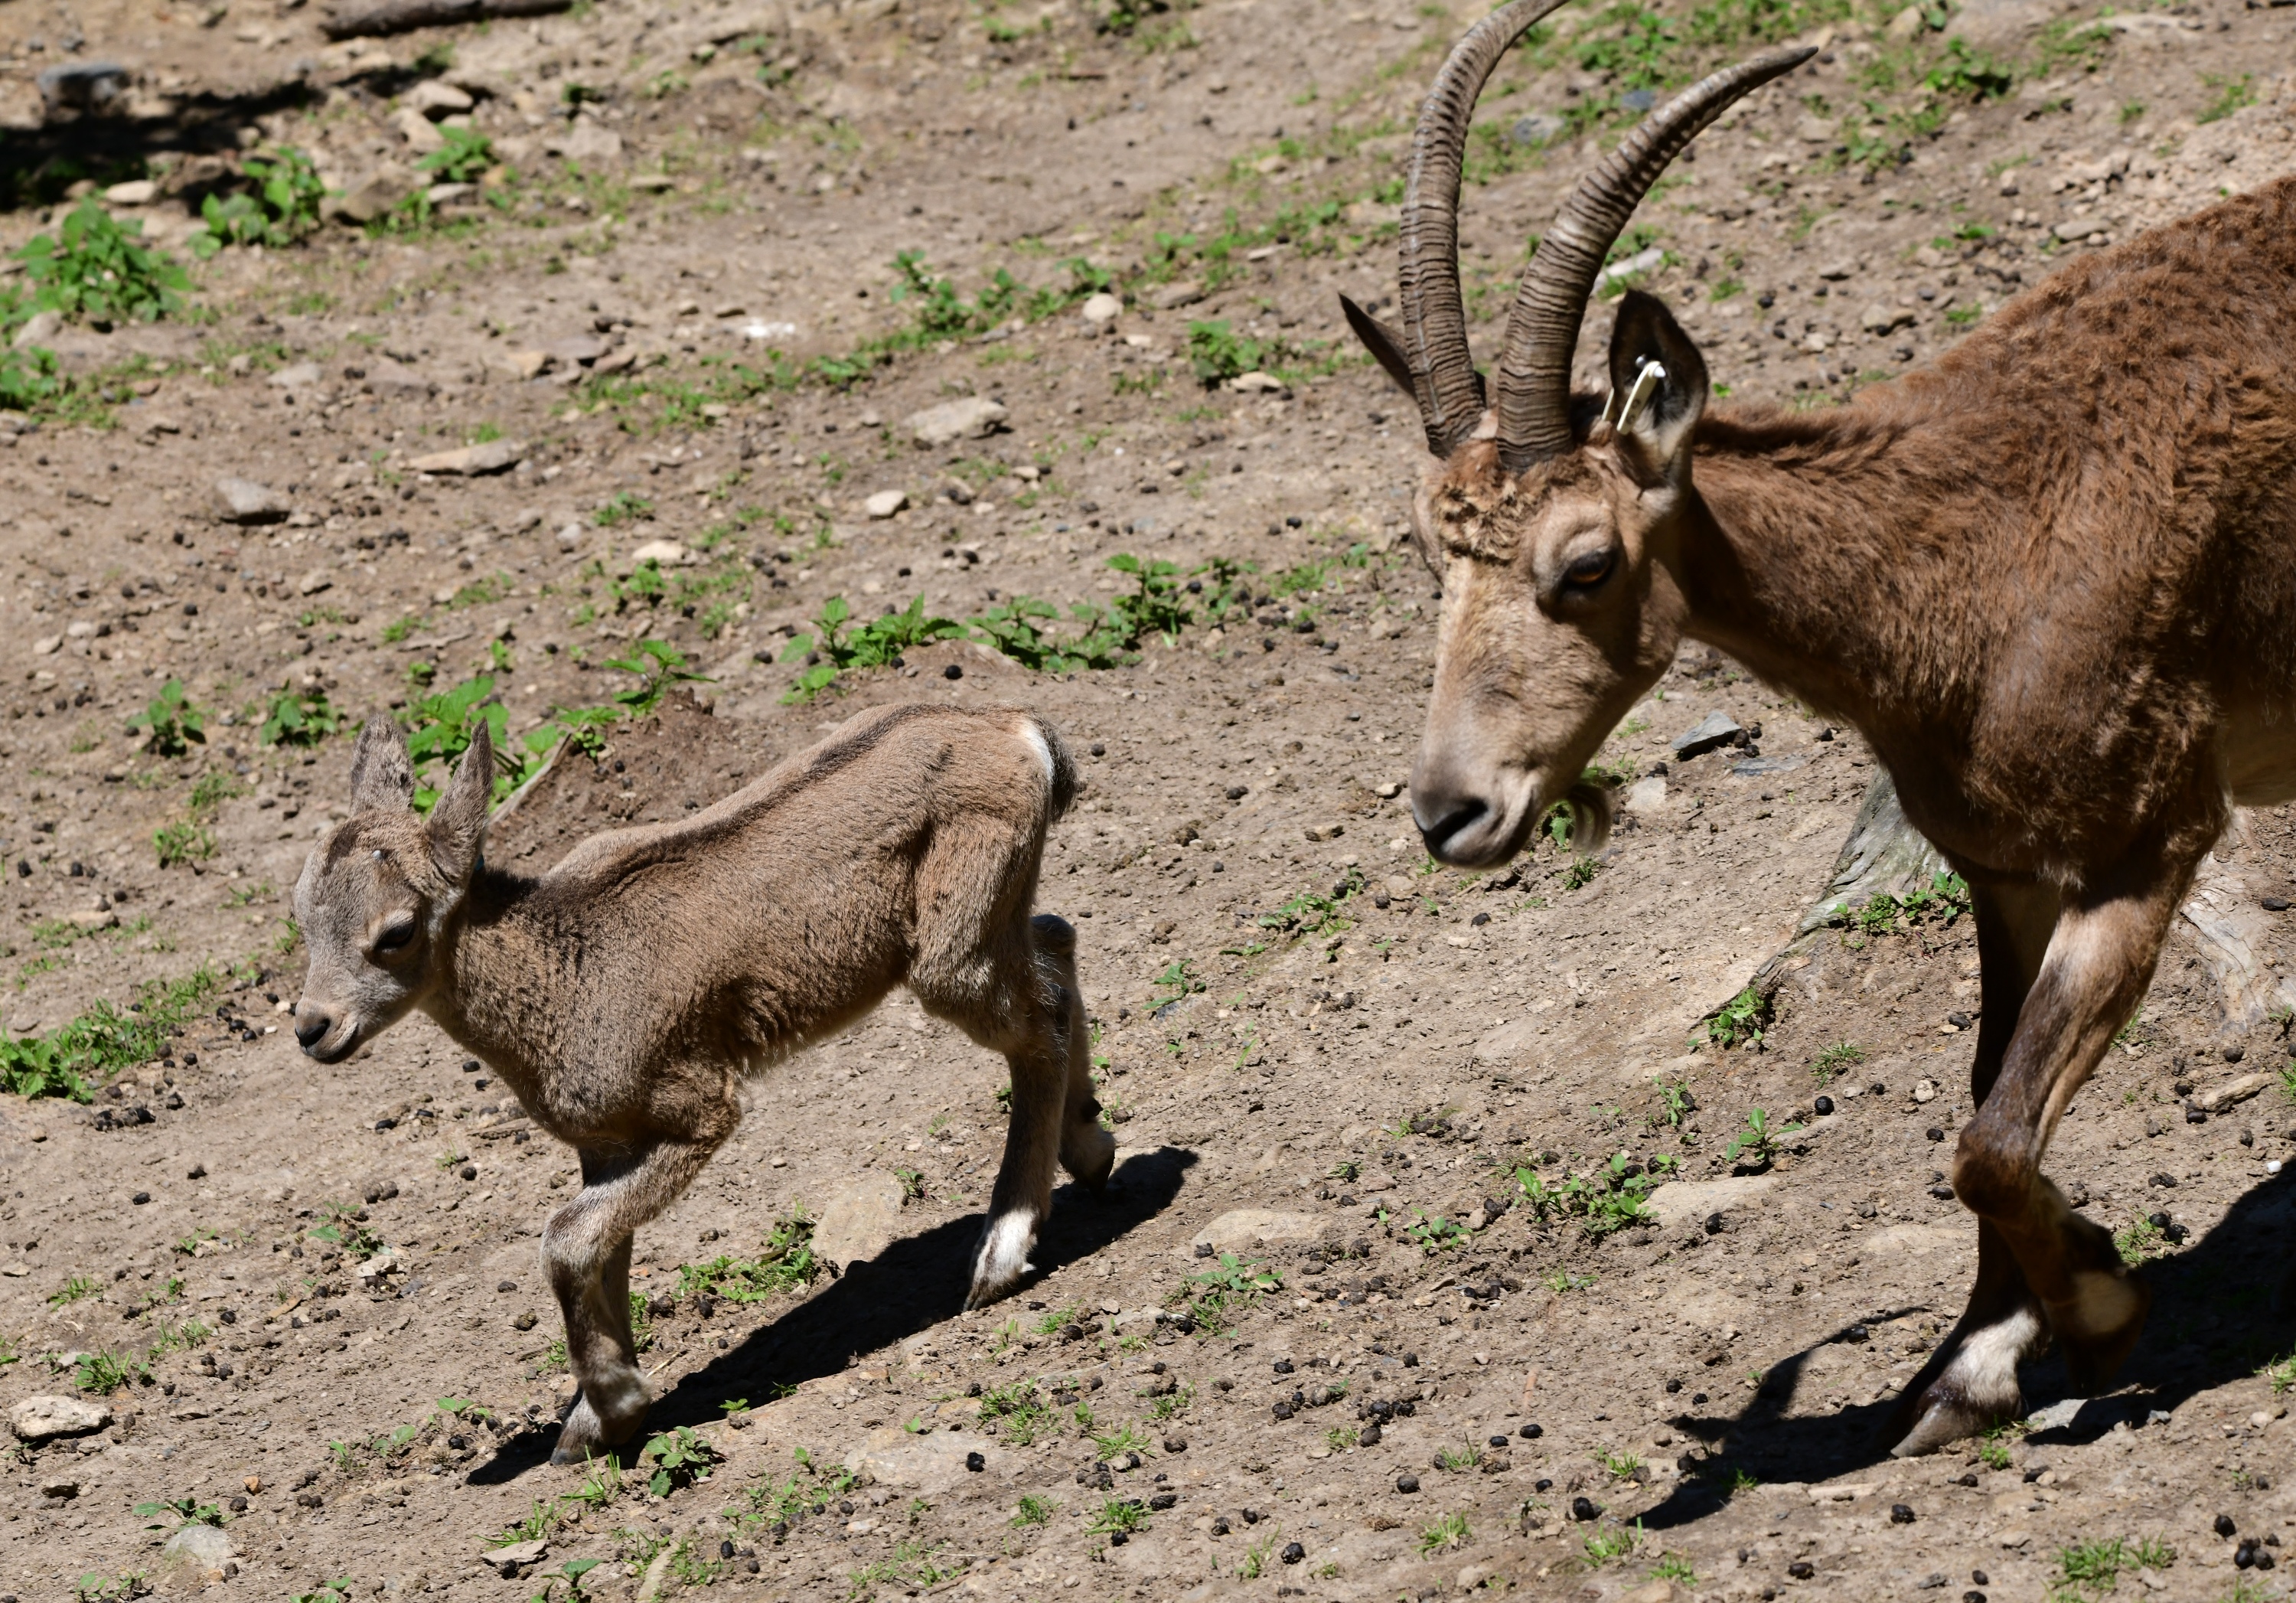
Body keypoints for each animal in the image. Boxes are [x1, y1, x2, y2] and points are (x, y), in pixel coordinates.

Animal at [289, 702, 1113, 1464]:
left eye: (395, 932)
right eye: (301, 915)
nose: (313, 1027)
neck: (563, 983)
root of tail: (1026, 737)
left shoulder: (698, 1107)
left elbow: (566, 1239)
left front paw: (614, 1406)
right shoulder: (607, 1143)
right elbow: (604, 1254)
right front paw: (593, 1423)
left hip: (952, 952)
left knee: (1040, 1020)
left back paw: (1000, 1255)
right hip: (992, 925)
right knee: (1056, 941)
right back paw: (1091, 1148)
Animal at [1342, 0, 2296, 1455]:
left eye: (1586, 564)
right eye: (1427, 552)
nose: (1453, 813)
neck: (1962, 566)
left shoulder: (2148, 843)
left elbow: (1992, 1139)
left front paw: (2096, 1305)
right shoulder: (2008, 874)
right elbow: (1983, 1098)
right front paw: (1971, 1361)